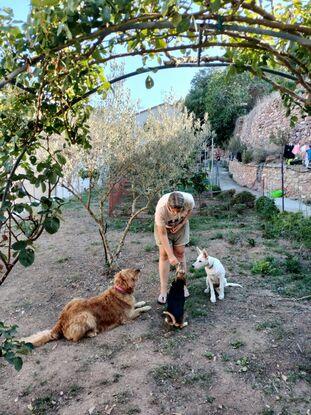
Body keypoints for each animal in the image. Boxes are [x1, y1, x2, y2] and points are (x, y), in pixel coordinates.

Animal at [22, 270, 151, 348]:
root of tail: (60, 322)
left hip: (74, 299)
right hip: (86, 316)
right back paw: (92, 332)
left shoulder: (131, 308)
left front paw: (142, 302)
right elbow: (139, 310)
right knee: (75, 338)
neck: (121, 290)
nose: (138, 269)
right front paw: (147, 306)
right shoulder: (128, 316)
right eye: (130, 273)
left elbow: (137, 304)